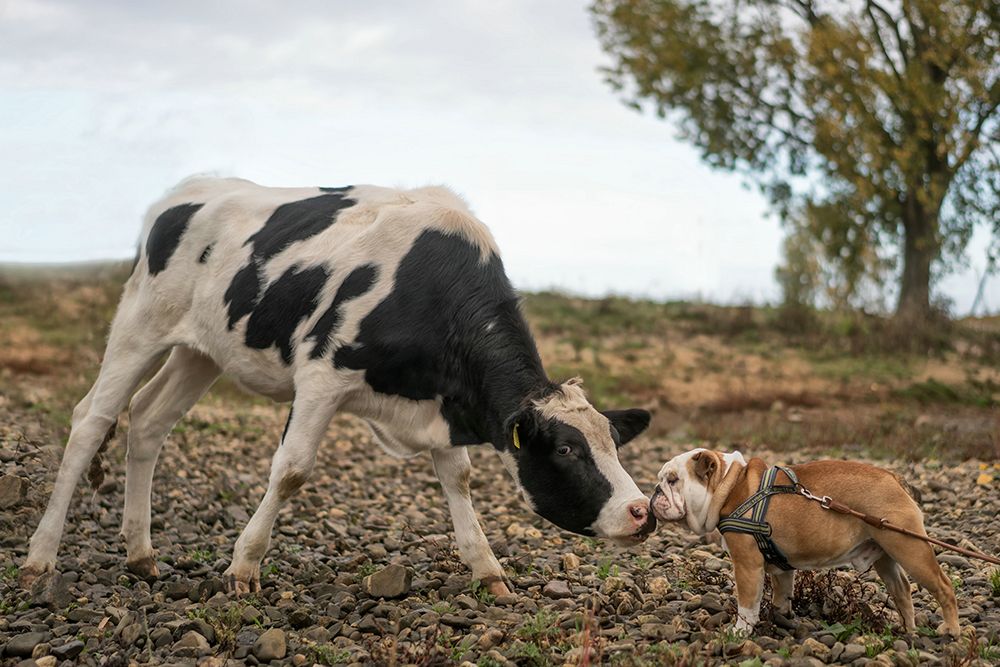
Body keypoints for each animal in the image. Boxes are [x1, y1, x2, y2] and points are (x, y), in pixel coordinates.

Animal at [23, 176, 656, 596]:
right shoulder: (322, 376)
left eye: (614, 444)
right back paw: (41, 556)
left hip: (200, 350)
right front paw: (244, 566)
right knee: (90, 420)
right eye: (568, 450)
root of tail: (189, 191)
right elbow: (292, 470)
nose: (641, 512)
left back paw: (141, 554)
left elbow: (459, 477)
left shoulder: (445, 406)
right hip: (140, 323)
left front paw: (488, 570)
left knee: (149, 421)